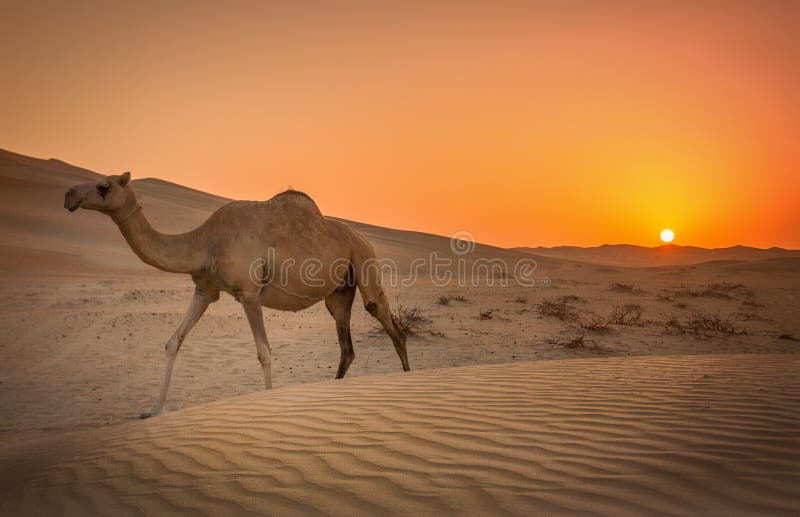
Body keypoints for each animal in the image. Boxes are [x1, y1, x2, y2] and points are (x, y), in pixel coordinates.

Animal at [64, 172, 410, 418]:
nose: (69, 196)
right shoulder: (206, 289)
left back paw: (409, 379)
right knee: (346, 345)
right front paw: (153, 410)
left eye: (104, 186)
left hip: (364, 260)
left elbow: (264, 352)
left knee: (388, 322)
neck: (206, 242)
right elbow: (173, 341)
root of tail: (362, 237)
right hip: (338, 292)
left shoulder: (249, 293)